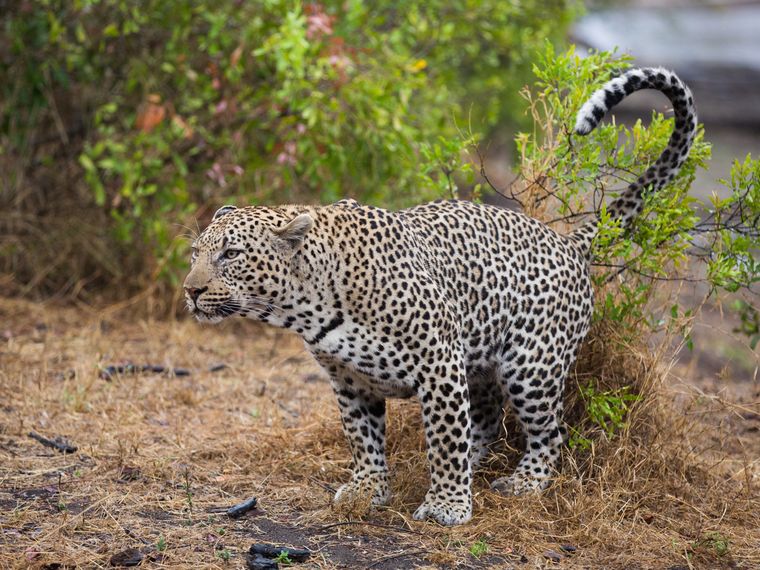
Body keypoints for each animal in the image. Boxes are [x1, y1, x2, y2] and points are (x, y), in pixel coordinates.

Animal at [183, 68, 697, 526]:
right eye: (195, 252)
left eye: (231, 254)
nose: (190, 290)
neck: (307, 307)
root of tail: (568, 243)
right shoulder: (349, 380)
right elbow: (363, 438)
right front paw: (368, 491)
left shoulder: (438, 360)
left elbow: (445, 438)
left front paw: (447, 506)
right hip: (484, 362)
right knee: (487, 416)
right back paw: (475, 465)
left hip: (531, 367)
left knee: (551, 429)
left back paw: (524, 482)